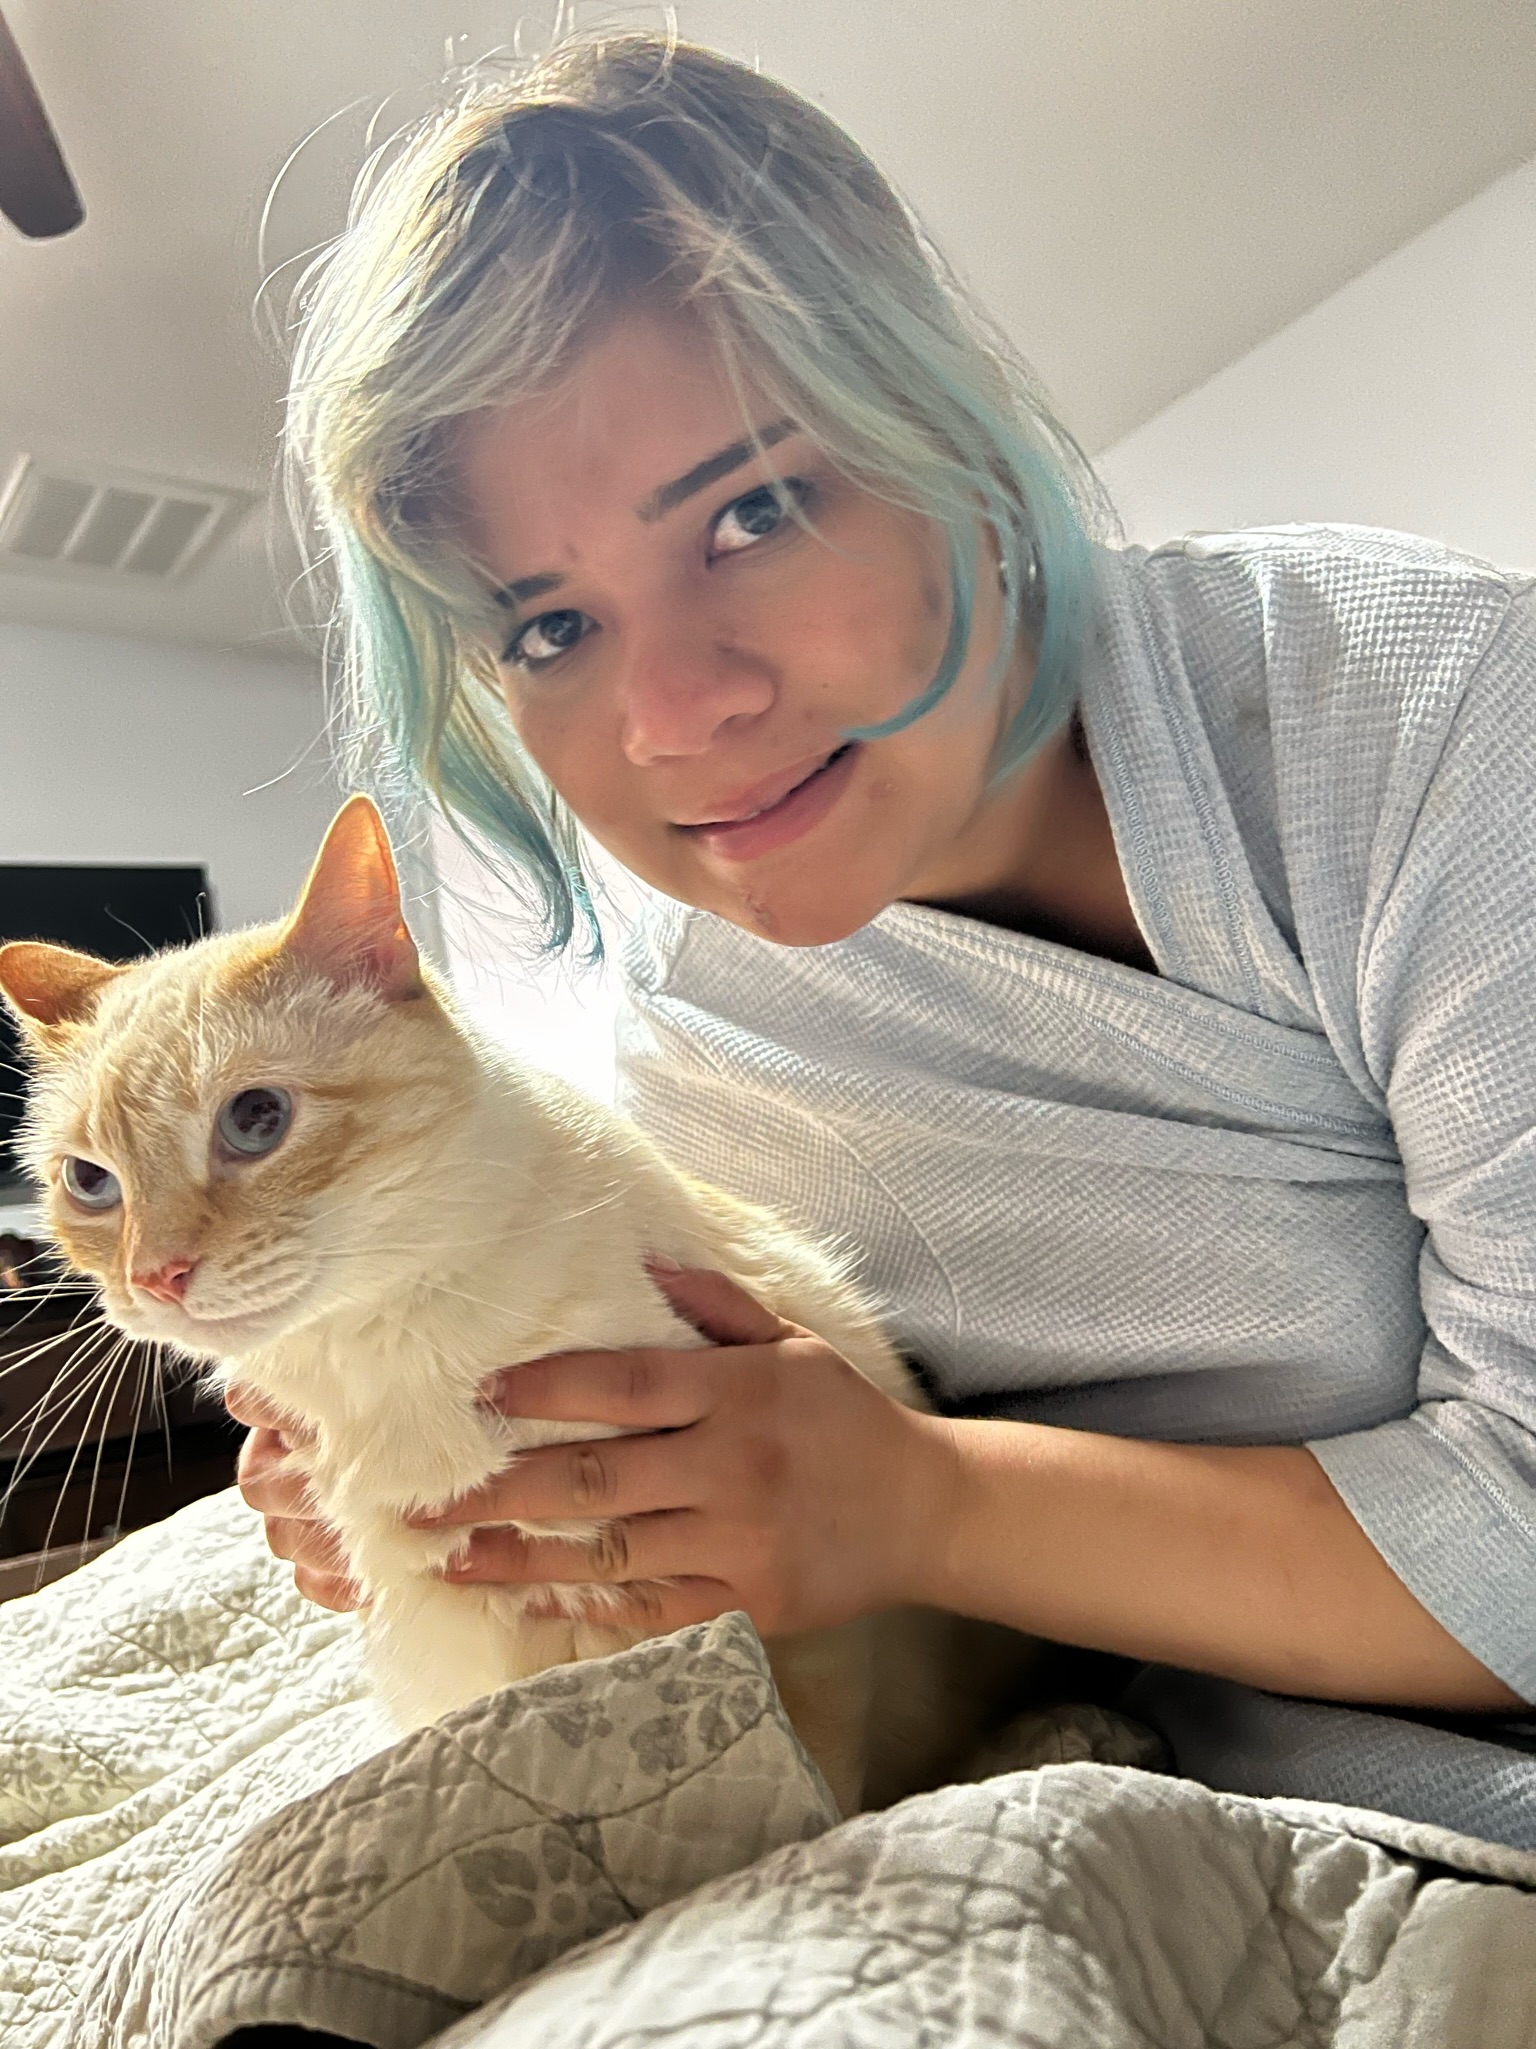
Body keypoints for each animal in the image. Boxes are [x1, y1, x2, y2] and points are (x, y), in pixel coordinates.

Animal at [0, 796, 1032, 1813]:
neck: (388, 1352)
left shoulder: (763, 1612)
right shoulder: (473, 1637)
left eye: (256, 1119)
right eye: (90, 1182)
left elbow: (811, 1787)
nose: (155, 1277)